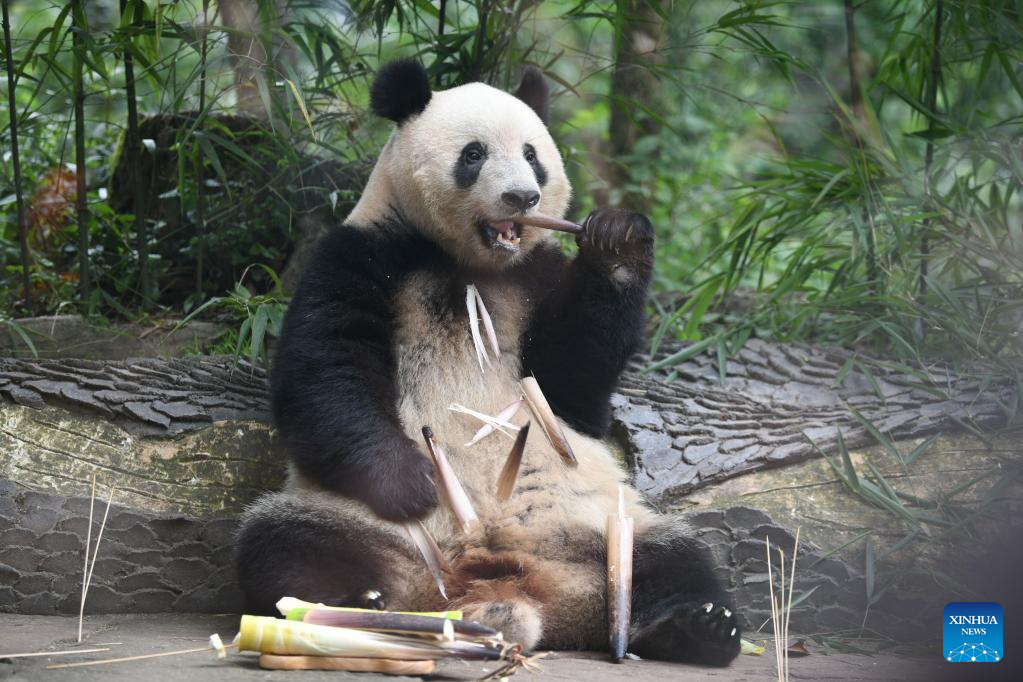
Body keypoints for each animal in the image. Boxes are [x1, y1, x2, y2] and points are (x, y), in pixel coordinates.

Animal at [235, 60, 740, 666]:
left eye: (532, 154)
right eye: (473, 154)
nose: (522, 196)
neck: (471, 265)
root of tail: (507, 587)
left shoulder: (538, 277)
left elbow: (571, 386)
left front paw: (616, 242)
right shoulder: (361, 254)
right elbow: (326, 368)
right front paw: (412, 479)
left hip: (601, 521)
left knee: (673, 555)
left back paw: (697, 626)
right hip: (356, 518)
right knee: (286, 547)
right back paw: (352, 604)